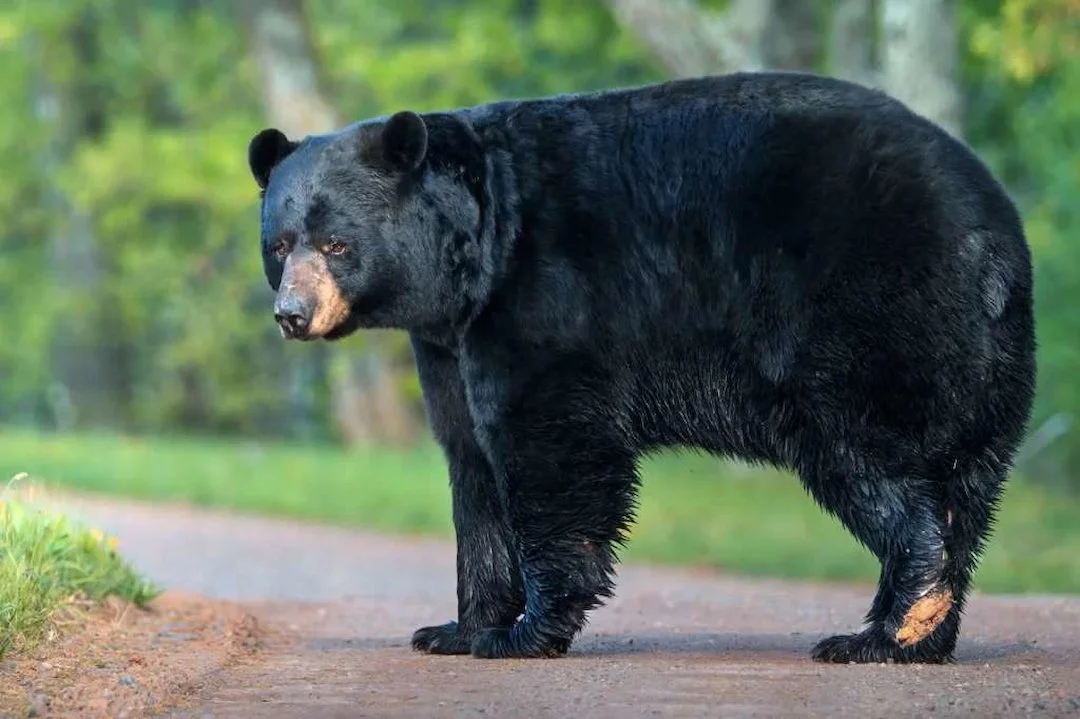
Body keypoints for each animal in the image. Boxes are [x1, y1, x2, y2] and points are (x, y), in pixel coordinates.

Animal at [246, 71, 1036, 664]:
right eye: (280, 244)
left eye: (338, 243)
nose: (291, 314)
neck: (476, 251)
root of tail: (994, 233)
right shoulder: (447, 343)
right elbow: (471, 464)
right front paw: (456, 627)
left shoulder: (544, 296)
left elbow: (549, 445)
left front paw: (526, 630)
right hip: (984, 367)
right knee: (966, 488)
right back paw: (923, 635)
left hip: (865, 316)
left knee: (872, 460)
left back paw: (884, 628)